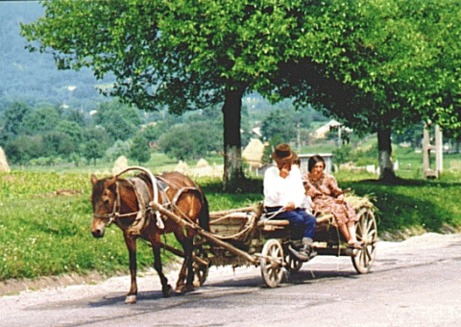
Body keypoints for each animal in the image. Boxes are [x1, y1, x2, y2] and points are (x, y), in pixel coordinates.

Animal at [90, 169, 208, 304]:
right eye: (91, 200)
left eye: (106, 201)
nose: (96, 230)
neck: (139, 202)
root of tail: (193, 183)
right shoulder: (129, 236)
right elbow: (132, 265)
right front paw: (132, 293)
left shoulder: (154, 236)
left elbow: (157, 264)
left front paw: (166, 287)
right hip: (177, 227)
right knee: (188, 248)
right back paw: (188, 282)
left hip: (189, 224)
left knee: (189, 249)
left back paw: (182, 283)